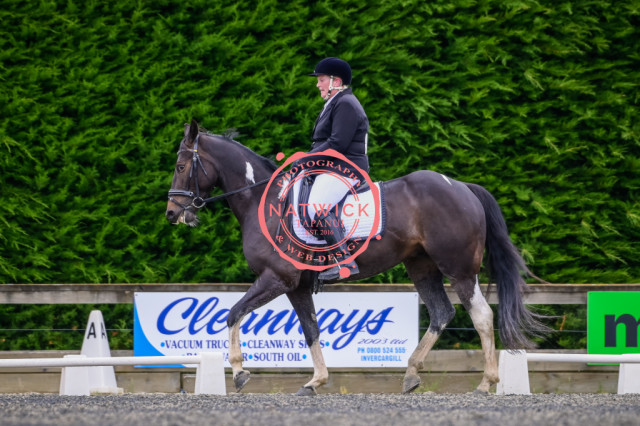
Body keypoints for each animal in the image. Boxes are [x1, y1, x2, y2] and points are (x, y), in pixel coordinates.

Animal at [165, 120, 549, 396]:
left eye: (182, 166)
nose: (172, 214)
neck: (264, 200)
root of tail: (462, 186)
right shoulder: (296, 286)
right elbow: (311, 329)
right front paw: (315, 382)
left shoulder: (277, 278)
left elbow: (233, 313)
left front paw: (240, 372)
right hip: (421, 266)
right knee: (442, 313)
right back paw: (411, 374)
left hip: (459, 269)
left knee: (481, 316)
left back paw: (486, 383)